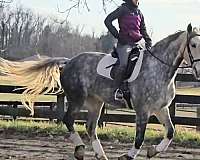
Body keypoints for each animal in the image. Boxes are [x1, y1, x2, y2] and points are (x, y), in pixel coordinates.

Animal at [0, 23, 200, 159]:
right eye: (194, 45)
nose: (199, 70)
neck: (158, 69)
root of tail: (69, 61)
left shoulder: (161, 108)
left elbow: (170, 132)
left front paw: (152, 151)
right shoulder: (142, 110)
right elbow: (139, 138)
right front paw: (127, 156)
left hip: (95, 103)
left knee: (90, 127)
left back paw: (101, 155)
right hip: (77, 99)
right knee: (69, 120)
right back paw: (80, 150)